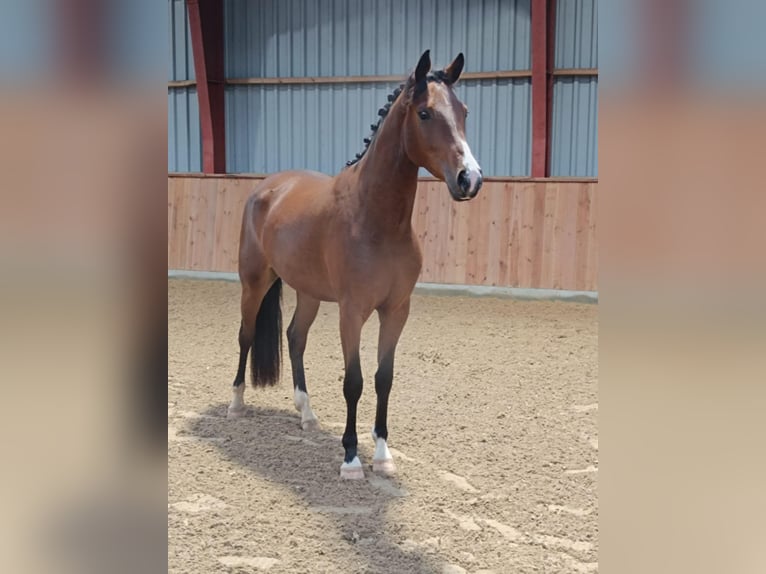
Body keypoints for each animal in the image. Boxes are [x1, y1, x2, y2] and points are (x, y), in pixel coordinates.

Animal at [225, 50, 484, 482]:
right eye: (425, 113)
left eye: (463, 111)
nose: (471, 179)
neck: (375, 220)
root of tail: (266, 188)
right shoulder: (352, 312)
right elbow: (354, 382)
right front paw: (350, 459)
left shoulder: (395, 311)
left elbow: (383, 379)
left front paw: (382, 455)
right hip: (254, 282)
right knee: (245, 336)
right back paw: (236, 404)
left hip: (307, 292)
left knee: (295, 338)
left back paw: (307, 415)